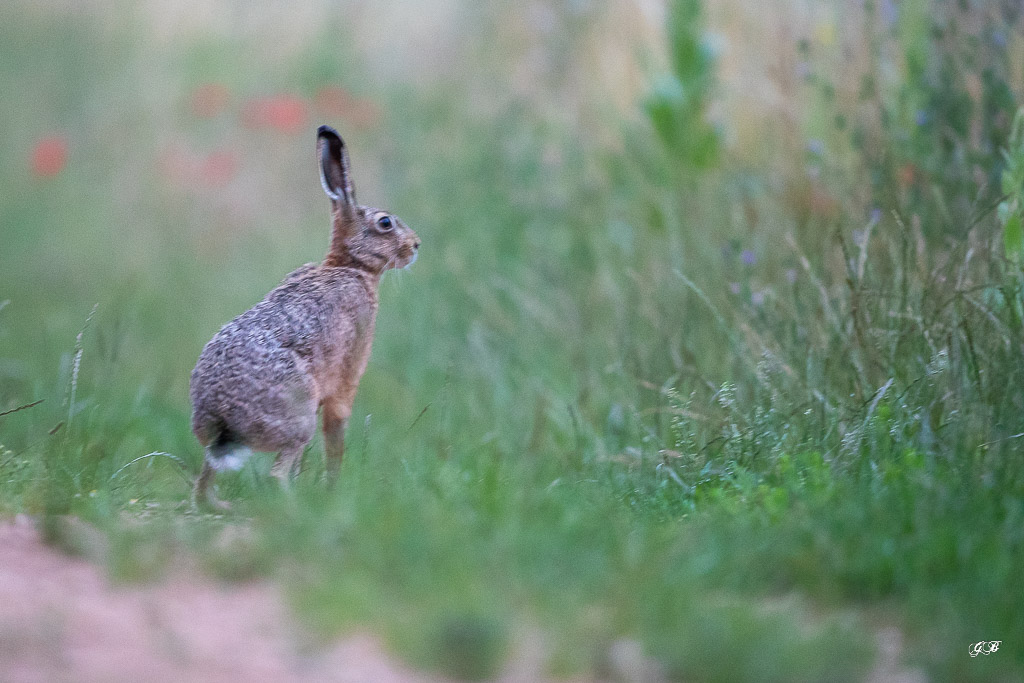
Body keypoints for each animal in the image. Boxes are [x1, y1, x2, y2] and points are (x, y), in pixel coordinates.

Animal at [189, 124, 420, 508]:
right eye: (385, 223)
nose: (416, 245)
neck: (350, 266)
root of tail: (224, 419)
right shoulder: (345, 380)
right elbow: (336, 436)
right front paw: (333, 490)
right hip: (300, 418)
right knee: (276, 473)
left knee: (205, 481)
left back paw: (222, 504)